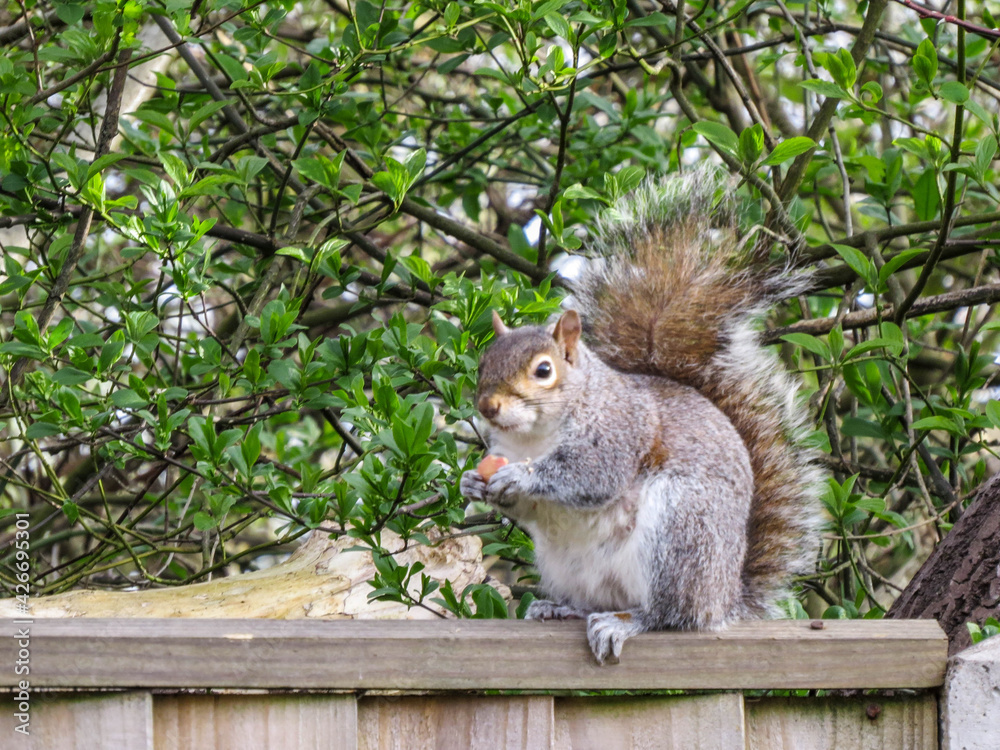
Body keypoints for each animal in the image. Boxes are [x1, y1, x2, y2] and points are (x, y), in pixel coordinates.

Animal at [460, 169, 824, 664]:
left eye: (544, 370)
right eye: (482, 364)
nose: (487, 407)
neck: (534, 437)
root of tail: (724, 597)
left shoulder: (619, 430)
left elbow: (590, 476)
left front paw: (521, 476)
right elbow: (529, 508)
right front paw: (472, 483)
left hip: (680, 533)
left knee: (670, 615)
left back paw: (627, 622)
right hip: (571, 565)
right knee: (598, 599)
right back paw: (560, 608)